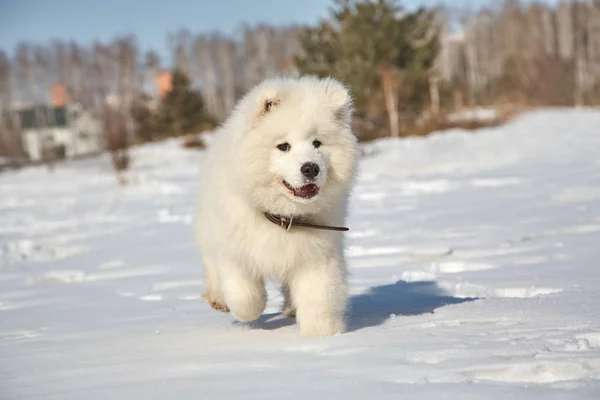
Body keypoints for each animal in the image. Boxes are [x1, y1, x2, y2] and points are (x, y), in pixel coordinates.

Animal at [195, 76, 358, 338]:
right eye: (283, 146)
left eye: (317, 143)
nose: (311, 168)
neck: (283, 217)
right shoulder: (235, 251)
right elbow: (244, 296)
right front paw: (249, 312)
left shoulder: (316, 256)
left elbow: (319, 297)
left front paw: (322, 335)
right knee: (212, 268)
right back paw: (218, 299)